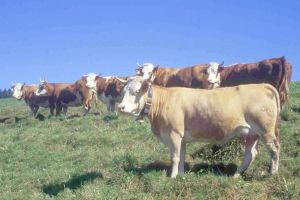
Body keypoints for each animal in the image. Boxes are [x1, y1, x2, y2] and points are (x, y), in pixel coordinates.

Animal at [118, 76, 282, 178]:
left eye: (136, 91)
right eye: (123, 91)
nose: (121, 107)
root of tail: (263, 85)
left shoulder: (174, 134)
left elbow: (175, 157)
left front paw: (172, 176)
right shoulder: (182, 138)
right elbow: (182, 156)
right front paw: (181, 175)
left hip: (266, 130)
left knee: (274, 149)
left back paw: (272, 173)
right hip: (251, 133)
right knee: (251, 153)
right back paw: (236, 175)